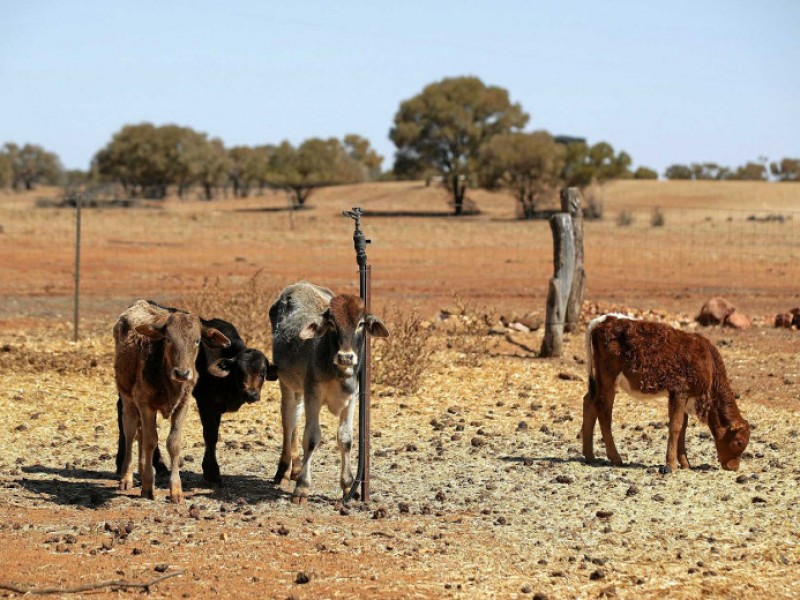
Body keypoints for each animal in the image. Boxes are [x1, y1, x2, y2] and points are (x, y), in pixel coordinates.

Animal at [111, 300, 228, 502]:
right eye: (168, 339)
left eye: (197, 340)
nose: (182, 373)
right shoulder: (145, 404)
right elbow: (151, 440)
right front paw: (148, 486)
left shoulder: (183, 404)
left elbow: (173, 443)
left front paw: (175, 489)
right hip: (127, 398)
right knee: (131, 432)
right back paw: (127, 477)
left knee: (140, 433)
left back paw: (143, 468)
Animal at [270, 282, 390, 502]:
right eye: (332, 323)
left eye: (361, 323)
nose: (345, 357)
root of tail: (299, 285)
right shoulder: (313, 395)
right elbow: (311, 438)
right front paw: (302, 487)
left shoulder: (352, 398)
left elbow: (345, 439)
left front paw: (348, 485)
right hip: (287, 384)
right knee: (289, 421)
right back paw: (284, 469)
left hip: (299, 389)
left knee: (295, 418)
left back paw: (296, 467)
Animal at [580, 314, 752, 474]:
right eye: (739, 442)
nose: (734, 467)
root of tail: (603, 320)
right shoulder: (679, 391)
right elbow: (675, 426)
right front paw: (671, 464)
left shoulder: (685, 396)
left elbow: (683, 427)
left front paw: (685, 463)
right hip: (608, 379)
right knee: (603, 411)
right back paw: (615, 457)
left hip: (598, 380)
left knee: (589, 402)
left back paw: (590, 456)